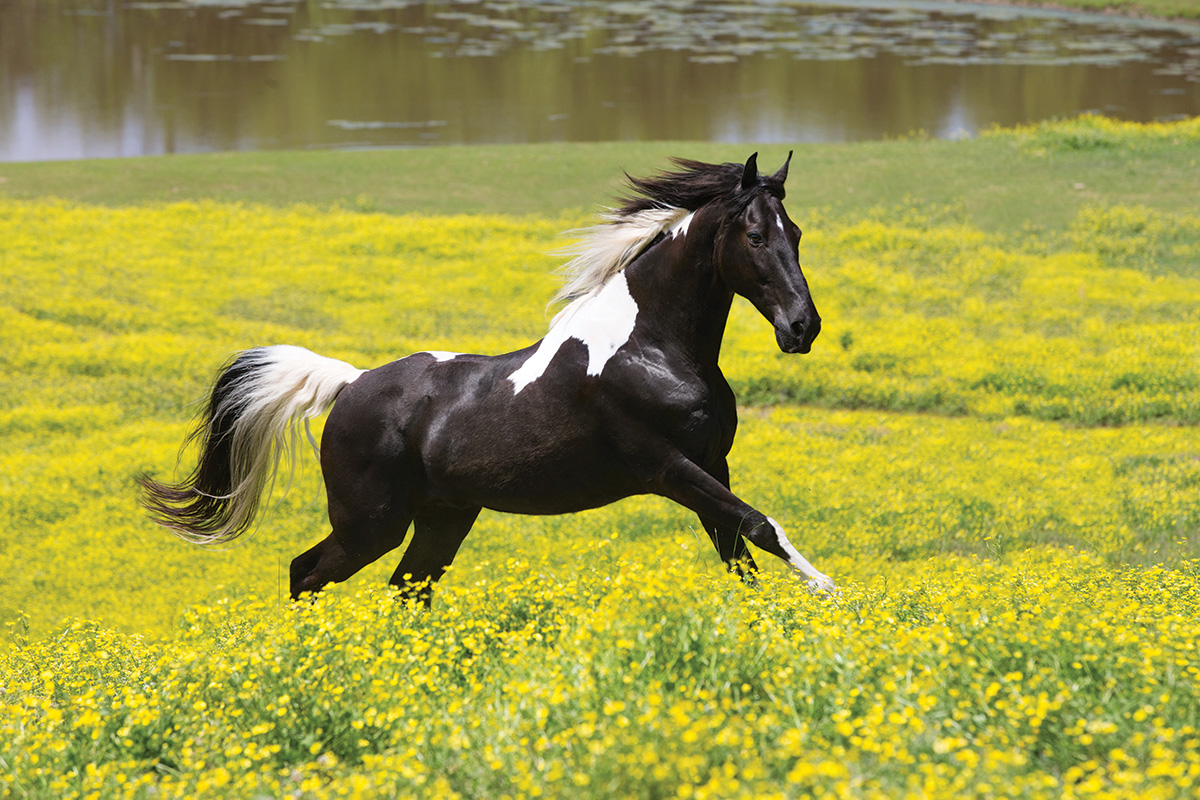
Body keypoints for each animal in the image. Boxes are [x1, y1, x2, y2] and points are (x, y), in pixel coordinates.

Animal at [140, 149, 835, 604]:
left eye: (798, 233)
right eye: (754, 235)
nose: (802, 327)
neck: (650, 347)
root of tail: (351, 382)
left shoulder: (712, 466)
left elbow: (740, 555)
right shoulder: (666, 468)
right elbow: (760, 526)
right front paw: (832, 593)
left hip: (442, 517)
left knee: (405, 592)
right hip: (371, 522)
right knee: (303, 573)